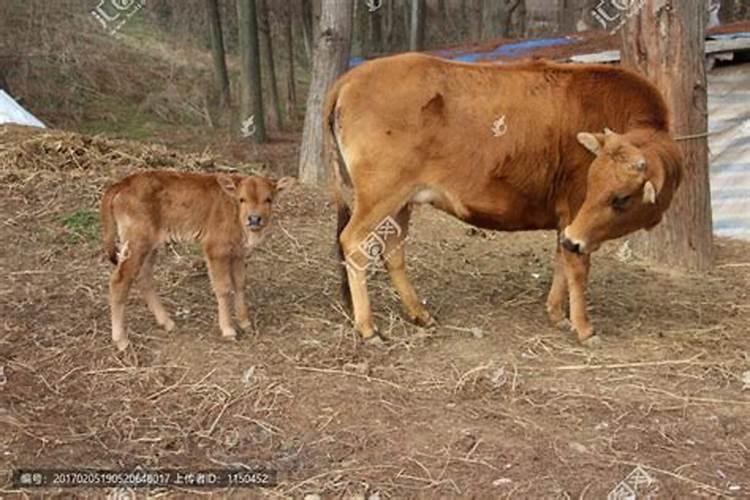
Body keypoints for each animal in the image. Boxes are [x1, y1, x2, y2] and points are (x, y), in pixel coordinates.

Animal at [99, 170, 296, 350]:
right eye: (242, 199)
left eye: (268, 199)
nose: (254, 219)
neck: (233, 209)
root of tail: (122, 183)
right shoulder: (216, 250)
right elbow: (224, 288)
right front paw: (228, 330)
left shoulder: (238, 253)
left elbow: (240, 284)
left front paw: (245, 322)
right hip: (136, 244)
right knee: (119, 281)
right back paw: (122, 340)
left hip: (150, 246)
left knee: (144, 278)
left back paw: (167, 323)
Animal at [326, 53, 684, 344]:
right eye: (595, 183)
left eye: (620, 197)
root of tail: (350, 78)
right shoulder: (575, 213)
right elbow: (577, 266)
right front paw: (584, 327)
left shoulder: (568, 223)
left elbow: (561, 257)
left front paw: (556, 313)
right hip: (379, 198)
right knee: (353, 244)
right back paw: (368, 328)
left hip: (401, 203)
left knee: (393, 252)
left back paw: (419, 314)